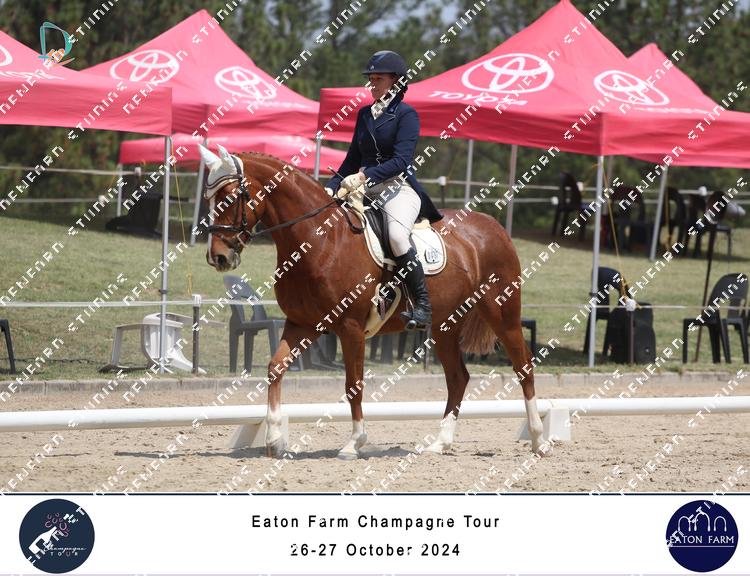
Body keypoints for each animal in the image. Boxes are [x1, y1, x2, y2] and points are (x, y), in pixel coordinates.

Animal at [199, 146, 546, 459]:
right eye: (208, 199)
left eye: (230, 197)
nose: (218, 258)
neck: (319, 240)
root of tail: (494, 226)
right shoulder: (303, 323)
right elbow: (275, 368)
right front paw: (273, 438)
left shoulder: (351, 328)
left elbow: (354, 384)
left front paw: (354, 443)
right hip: (445, 326)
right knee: (458, 378)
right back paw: (440, 443)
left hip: (502, 314)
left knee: (523, 366)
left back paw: (538, 440)